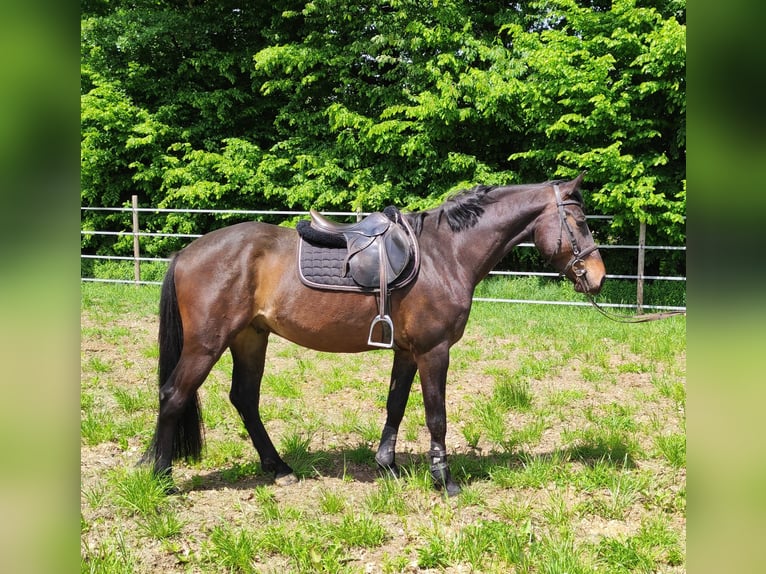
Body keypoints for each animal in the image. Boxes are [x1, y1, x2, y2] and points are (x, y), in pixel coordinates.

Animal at [146, 173, 608, 498]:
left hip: (249, 338)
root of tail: (185, 252)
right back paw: (162, 477)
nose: (598, 277)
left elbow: (395, 405)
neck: (444, 254)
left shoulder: (407, 351)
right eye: (581, 222)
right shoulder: (434, 351)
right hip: (207, 344)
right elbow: (436, 415)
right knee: (173, 395)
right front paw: (444, 480)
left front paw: (387, 464)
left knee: (244, 399)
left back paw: (278, 469)